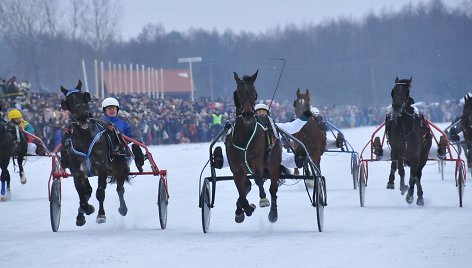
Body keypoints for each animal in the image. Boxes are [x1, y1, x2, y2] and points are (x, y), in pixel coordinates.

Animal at [61, 80, 131, 225]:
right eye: (68, 101)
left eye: (84, 97)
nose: (82, 116)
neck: (85, 140)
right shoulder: (77, 171)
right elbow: (82, 194)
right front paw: (85, 211)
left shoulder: (102, 168)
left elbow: (100, 192)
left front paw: (101, 215)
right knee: (88, 191)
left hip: (119, 166)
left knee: (120, 188)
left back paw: (123, 208)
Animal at [224, 70, 280, 223]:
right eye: (238, 92)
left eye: (254, 93)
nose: (248, 114)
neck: (244, 135)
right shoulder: (237, 168)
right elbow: (241, 192)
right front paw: (245, 209)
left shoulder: (258, 160)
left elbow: (259, 178)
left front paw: (263, 199)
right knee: (247, 185)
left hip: (273, 163)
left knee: (273, 188)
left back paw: (273, 213)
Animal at [384, 76, 432, 206]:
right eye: (393, 91)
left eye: (407, 91)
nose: (396, 106)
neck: (405, 128)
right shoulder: (398, 150)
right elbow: (399, 168)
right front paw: (397, 184)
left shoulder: (415, 154)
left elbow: (414, 176)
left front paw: (410, 195)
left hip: (424, 155)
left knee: (417, 174)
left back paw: (419, 196)